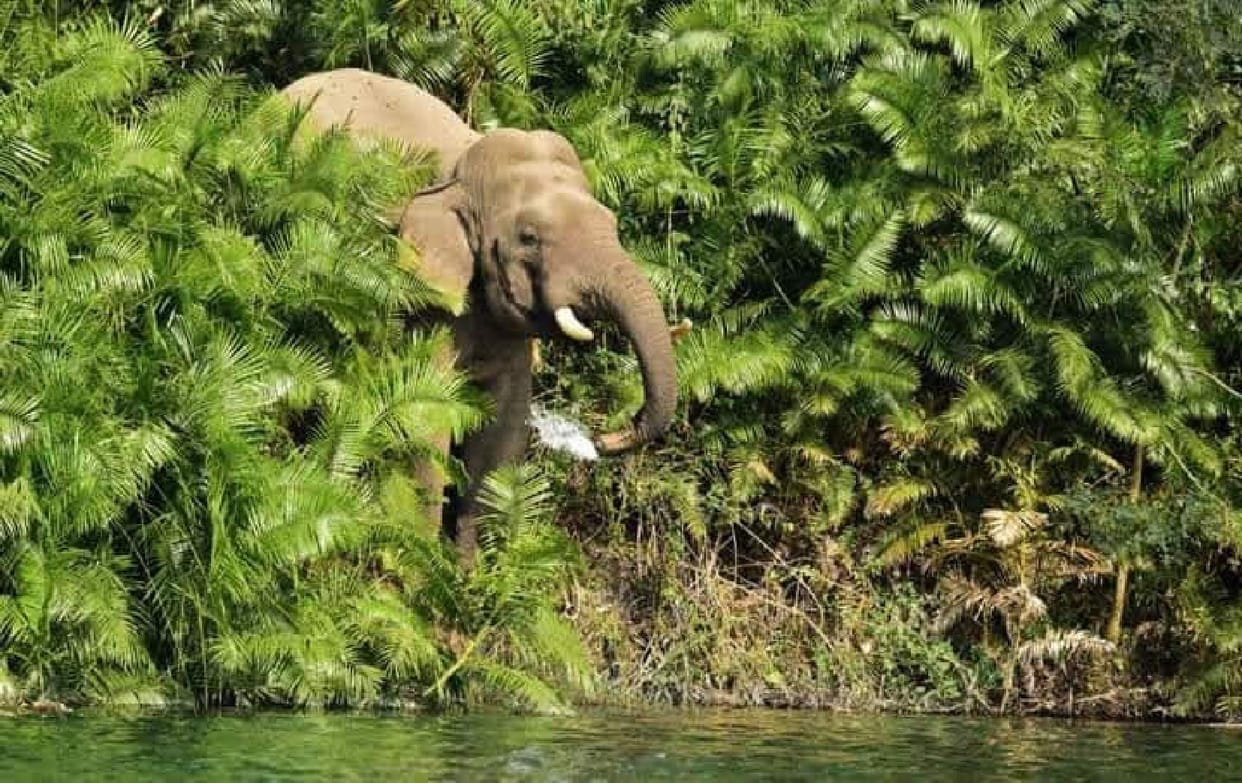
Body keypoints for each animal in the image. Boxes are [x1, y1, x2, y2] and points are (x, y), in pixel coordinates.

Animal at [279, 69, 682, 563]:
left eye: (611, 225)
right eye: (529, 238)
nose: (604, 438)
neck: (460, 170)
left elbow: (504, 428)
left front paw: (474, 572)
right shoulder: (425, 298)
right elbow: (425, 416)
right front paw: (417, 566)